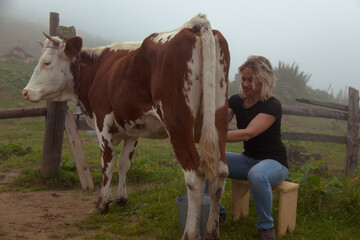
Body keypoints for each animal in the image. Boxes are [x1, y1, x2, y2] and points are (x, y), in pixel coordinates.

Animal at [22, 14, 231, 239]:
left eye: (47, 62)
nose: (26, 92)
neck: (98, 69)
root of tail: (194, 26)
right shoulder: (133, 127)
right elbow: (123, 163)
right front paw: (121, 199)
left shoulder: (102, 121)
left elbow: (107, 164)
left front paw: (102, 203)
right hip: (219, 118)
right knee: (220, 173)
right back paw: (212, 231)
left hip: (177, 122)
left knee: (194, 176)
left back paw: (190, 233)